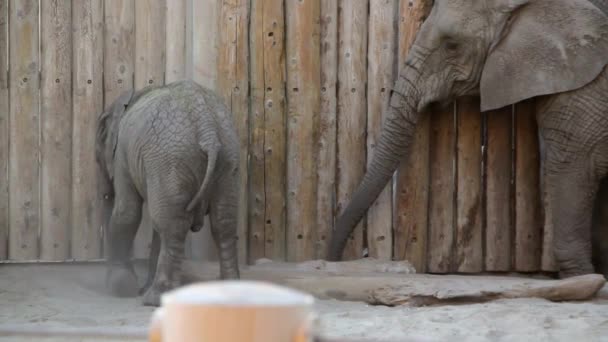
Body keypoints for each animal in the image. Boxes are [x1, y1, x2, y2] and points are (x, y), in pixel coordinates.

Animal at [95, 79, 240, 304]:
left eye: (97, 159)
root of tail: (207, 125)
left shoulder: (122, 156)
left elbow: (127, 213)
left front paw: (121, 287)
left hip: (170, 159)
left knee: (172, 226)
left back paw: (154, 299)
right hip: (227, 161)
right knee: (223, 223)